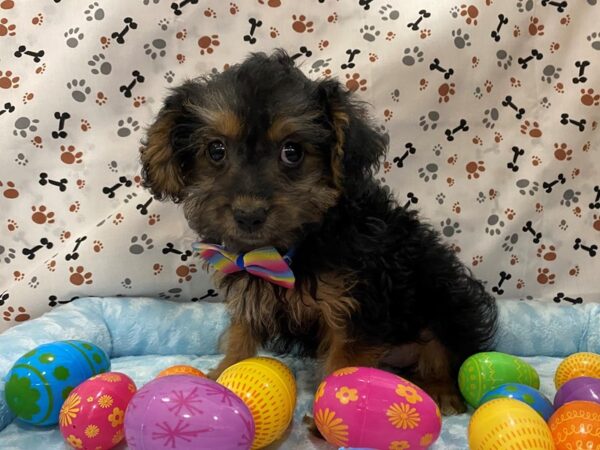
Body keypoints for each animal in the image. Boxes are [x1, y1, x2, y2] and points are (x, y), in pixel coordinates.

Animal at [142, 51, 496, 414]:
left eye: (292, 152)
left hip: (445, 297)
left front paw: (332, 410)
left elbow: (345, 361)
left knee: (446, 348)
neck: (291, 247)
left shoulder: (359, 305)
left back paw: (442, 388)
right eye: (216, 150)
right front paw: (223, 373)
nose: (248, 215)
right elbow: (242, 331)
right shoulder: (251, 287)